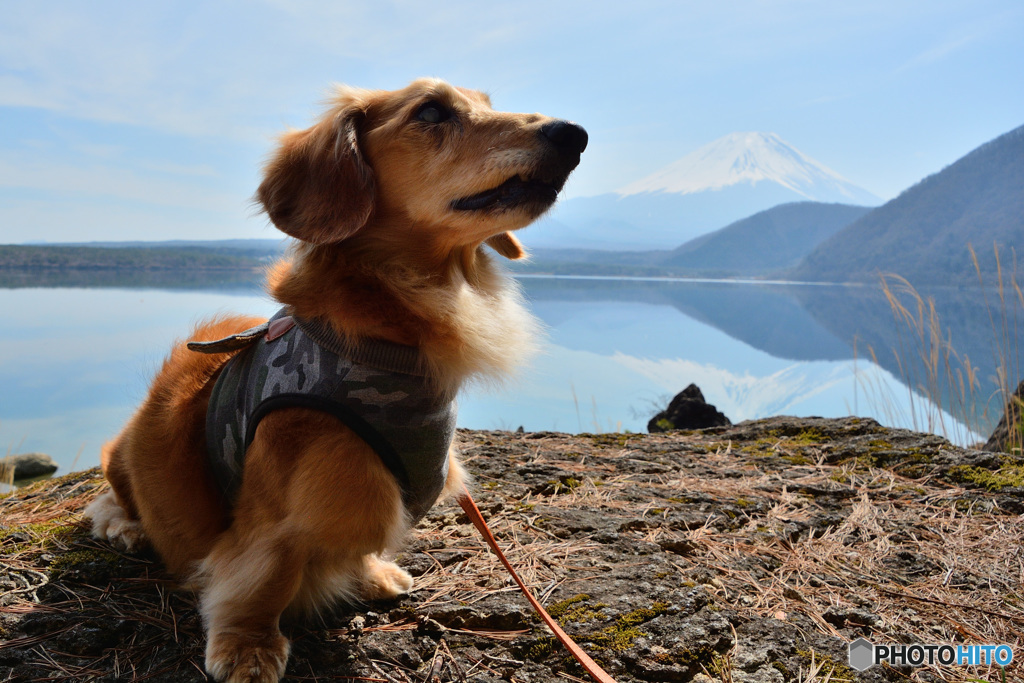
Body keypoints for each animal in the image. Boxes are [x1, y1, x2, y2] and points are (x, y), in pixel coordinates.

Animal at [84, 77, 589, 679]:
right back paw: (126, 527)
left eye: (488, 103)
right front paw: (248, 645)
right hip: (122, 459)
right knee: (112, 500)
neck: (389, 345)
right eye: (432, 112)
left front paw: (371, 573)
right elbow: (264, 577)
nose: (574, 135)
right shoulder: (277, 523)